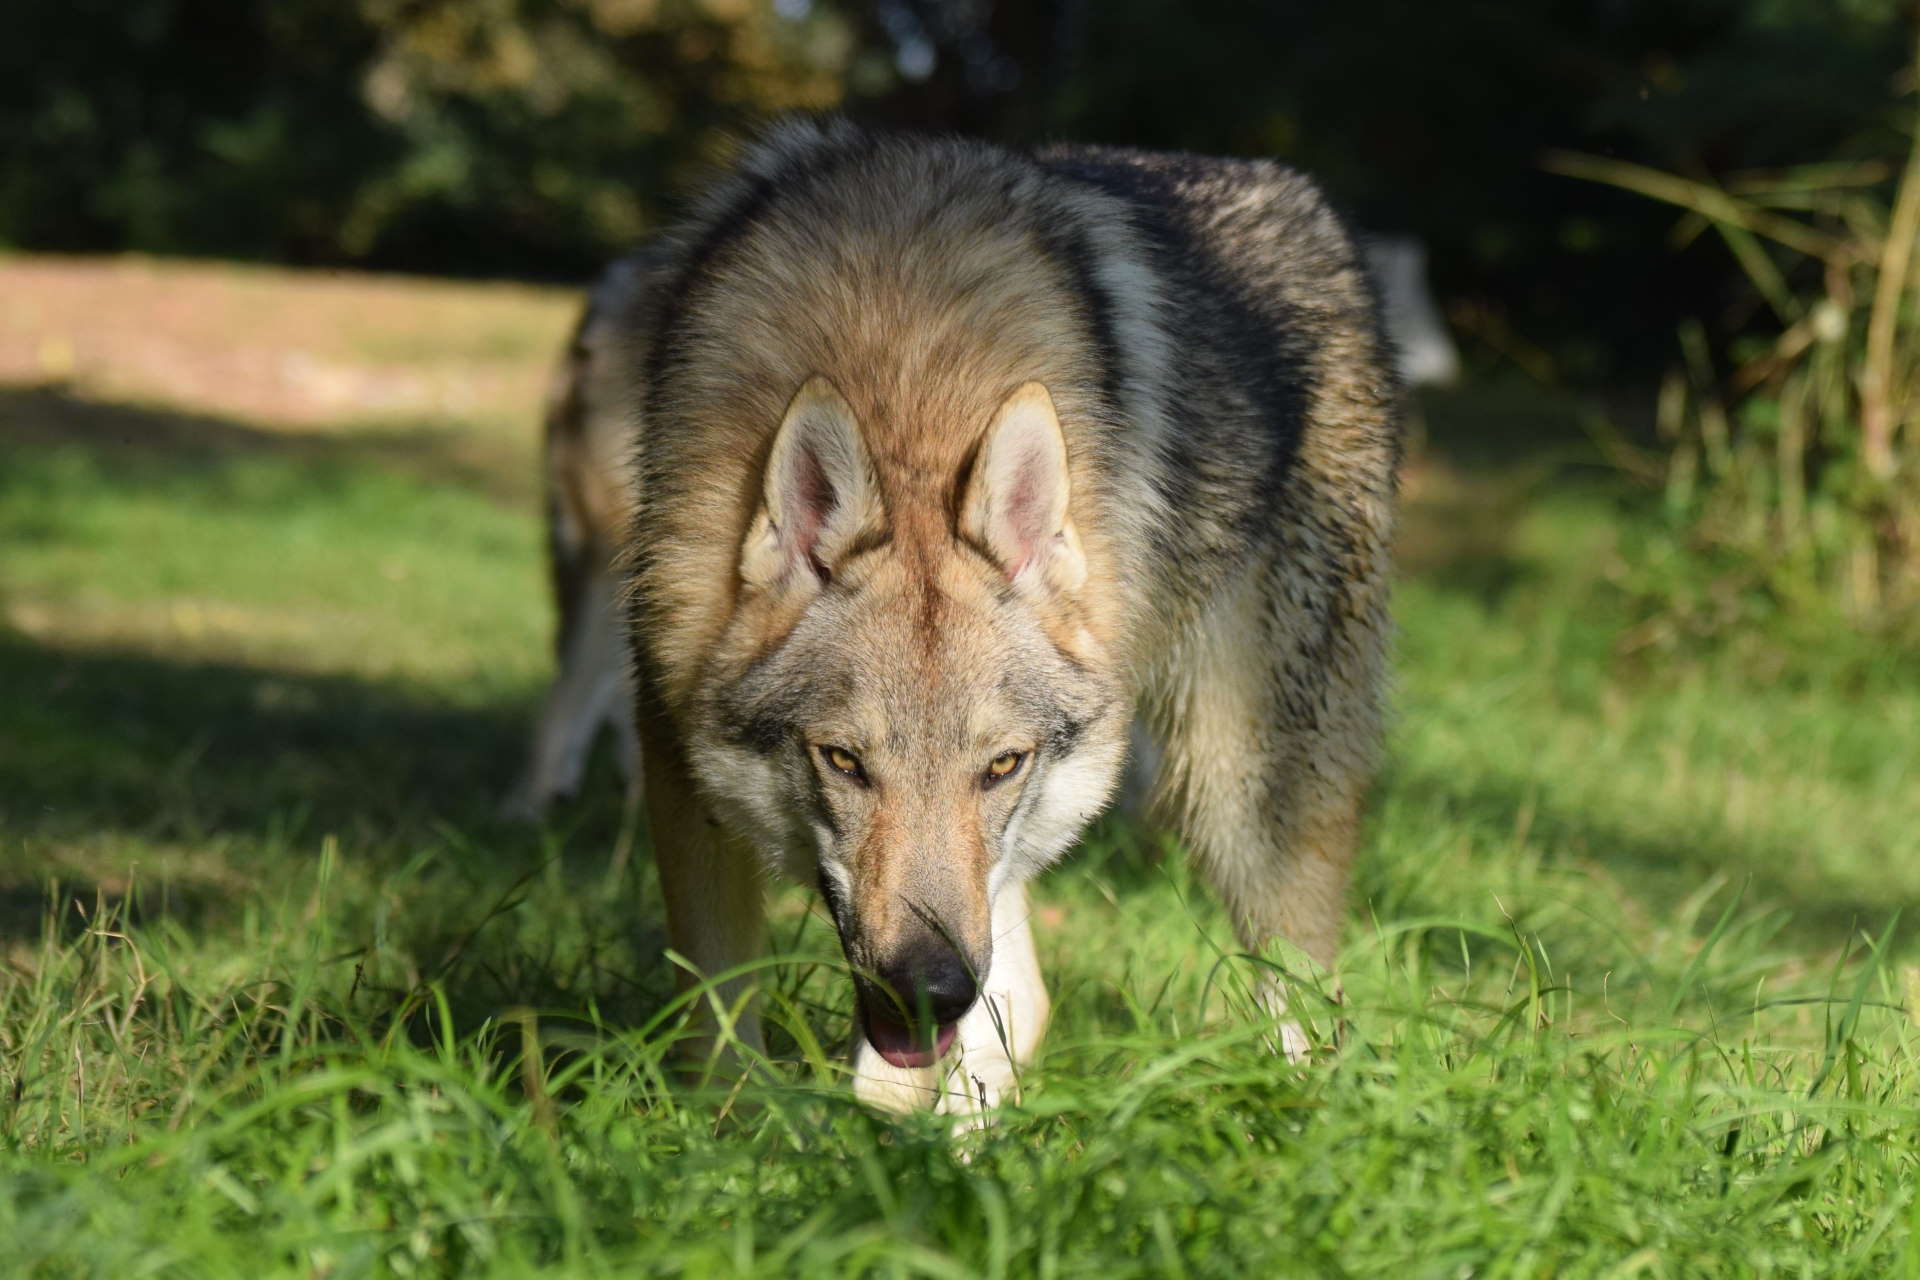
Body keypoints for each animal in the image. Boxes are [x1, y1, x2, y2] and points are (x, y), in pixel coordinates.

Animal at [538, 118, 1401, 1116]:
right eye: (843, 761)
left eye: (1000, 764)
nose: (929, 988)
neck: (900, 373)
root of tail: (1306, 202)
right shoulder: (677, 758)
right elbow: (717, 1028)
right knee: (1024, 1001)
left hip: (1240, 790)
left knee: (1299, 1000)